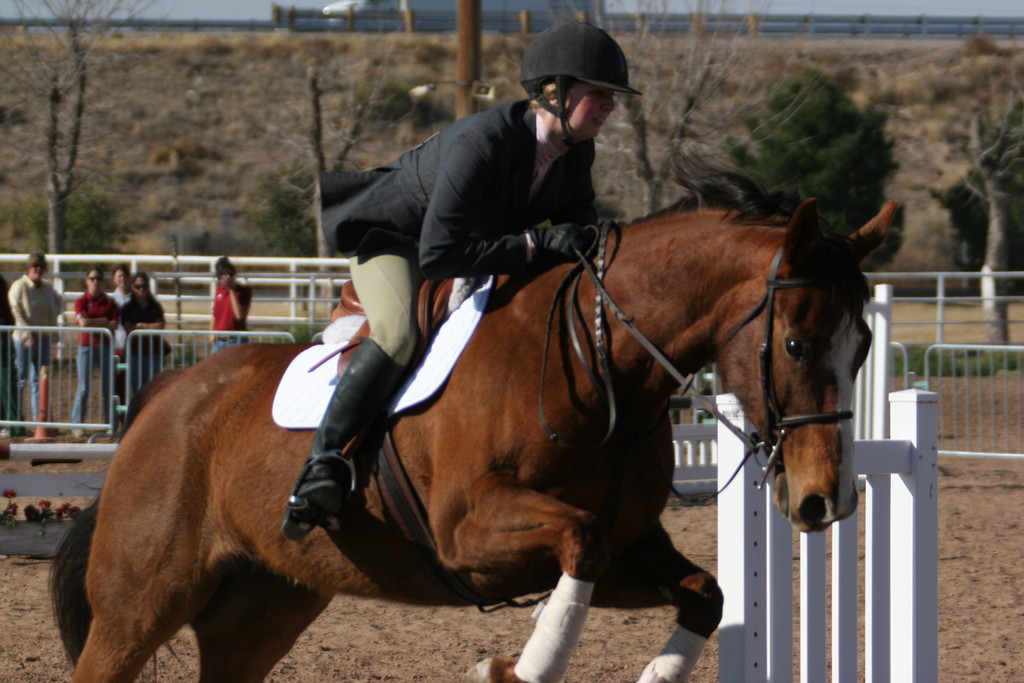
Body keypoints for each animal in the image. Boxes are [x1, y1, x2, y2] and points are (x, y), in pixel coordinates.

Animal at [51, 169, 892, 683]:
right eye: (795, 343)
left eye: (864, 346)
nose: (823, 500)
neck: (596, 359)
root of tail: (158, 400)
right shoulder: (472, 532)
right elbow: (579, 538)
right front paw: (516, 667)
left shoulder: (628, 550)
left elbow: (704, 593)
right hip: (139, 605)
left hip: (260, 608)